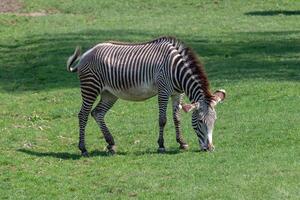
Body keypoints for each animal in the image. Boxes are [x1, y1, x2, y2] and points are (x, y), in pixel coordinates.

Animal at [66, 36, 225, 156]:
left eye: (215, 120)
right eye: (200, 121)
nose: (210, 148)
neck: (177, 69)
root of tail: (88, 52)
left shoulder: (177, 93)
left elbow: (177, 118)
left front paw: (182, 143)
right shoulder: (163, 90)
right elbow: (162, 120)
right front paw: (161, 146)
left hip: (109, 94)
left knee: (97, 113)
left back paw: (111, 144)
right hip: (90, 87)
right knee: (83, 115)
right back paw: (83, 149)